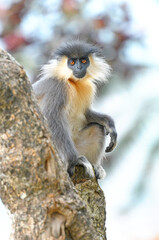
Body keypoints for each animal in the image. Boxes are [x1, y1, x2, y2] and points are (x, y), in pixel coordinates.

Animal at [32, 39, 117, 178]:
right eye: (72, 62)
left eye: (83, 61)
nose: (79, 67)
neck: (73, 82)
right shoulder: (58, 87)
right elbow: (51, 118)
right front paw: (75, 160)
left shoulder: (89, 88)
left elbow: (87, 114)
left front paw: (110, 125)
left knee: (97, 128)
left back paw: (96, 166)